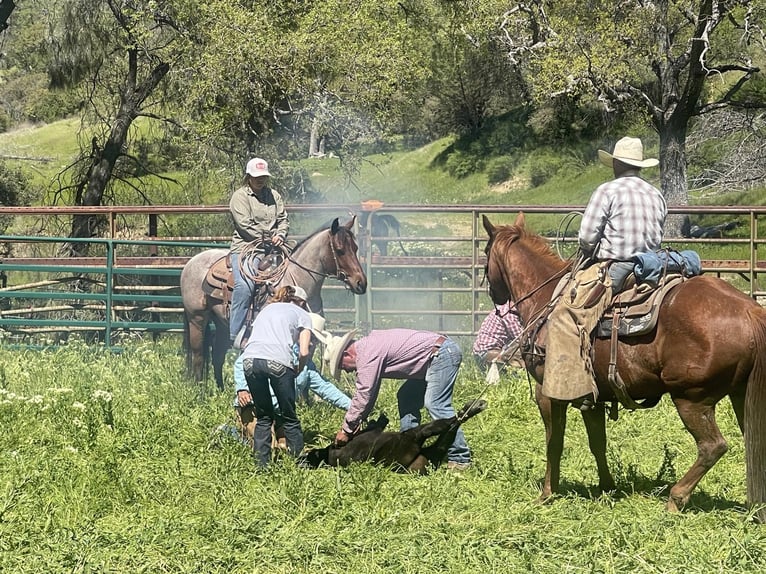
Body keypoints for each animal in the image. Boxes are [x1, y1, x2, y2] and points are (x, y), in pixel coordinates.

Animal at [183, 216, 368, 392]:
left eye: (356, 248)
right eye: (340, 250)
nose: (361, 283)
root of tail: (192, 261)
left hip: (221, 323)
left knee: (217, 356)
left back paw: (220, 391)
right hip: (197, 318)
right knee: (198, 355)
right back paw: (199, 391)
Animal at [298, 398, 486, 474]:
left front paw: (379, 419)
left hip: (429, 453)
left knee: (445, 437)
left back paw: (468, 410)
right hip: (408, 441)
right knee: (428, 431)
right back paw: (467, 411)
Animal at [486, 212, 766, 520]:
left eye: (485, 253)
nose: (494, 295)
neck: (546, 296)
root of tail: (750, 310)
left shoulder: (547, 394)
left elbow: (554, 443)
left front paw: (547, 493)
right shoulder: (592, 398)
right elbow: (597, 442)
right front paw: (607, 487)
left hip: (692, 398)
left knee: (712, 447)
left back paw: (675, 498)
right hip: (741, 395)